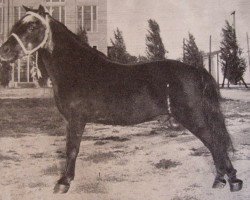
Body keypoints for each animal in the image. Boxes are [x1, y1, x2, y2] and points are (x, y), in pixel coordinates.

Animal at [0, 5, 243, 194]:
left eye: (32, 26)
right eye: (16, 24)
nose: (4, 51)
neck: (76, 68)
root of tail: (195, 70)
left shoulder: (76, 120)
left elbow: (71, 149)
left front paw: (63, 183)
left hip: (192, 117)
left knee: (215, 142)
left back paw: (232, 181)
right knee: (214, 144)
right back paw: (221, 180)